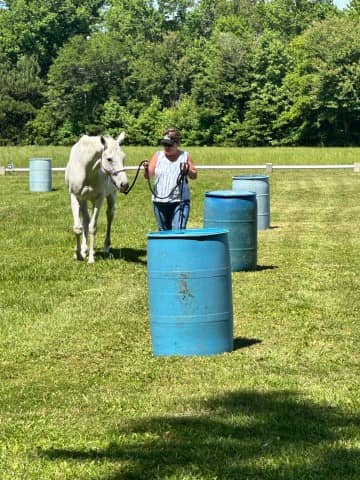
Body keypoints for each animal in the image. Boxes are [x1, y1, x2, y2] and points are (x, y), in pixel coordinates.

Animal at [65, 132, 129, 262]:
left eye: (123, 157)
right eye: (109, 159)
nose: (124, 185)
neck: (85, 169)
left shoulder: (99, 198)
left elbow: (93, 227)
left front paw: (90, 259)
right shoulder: (75, 196)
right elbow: (78, 228)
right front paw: (78, 254)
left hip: (111, 195)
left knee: (110, 215)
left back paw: (105, 247)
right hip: (83, 200)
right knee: (86, 219)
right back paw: (84, 250)